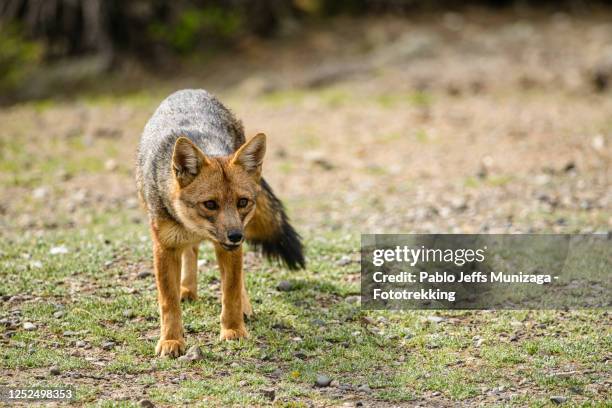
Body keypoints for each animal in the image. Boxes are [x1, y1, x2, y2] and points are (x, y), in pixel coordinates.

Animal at [136, 89, 304, 356]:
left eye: (242, 202)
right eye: (210, 204)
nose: (236, 235)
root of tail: (189, 90)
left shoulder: (230, 249)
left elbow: (231, 291)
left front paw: (233, 330)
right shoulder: (165, 247)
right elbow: (168, 303)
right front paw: (171, 340)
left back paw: (244, 306)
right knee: (191, 252)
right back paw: (187, 289)